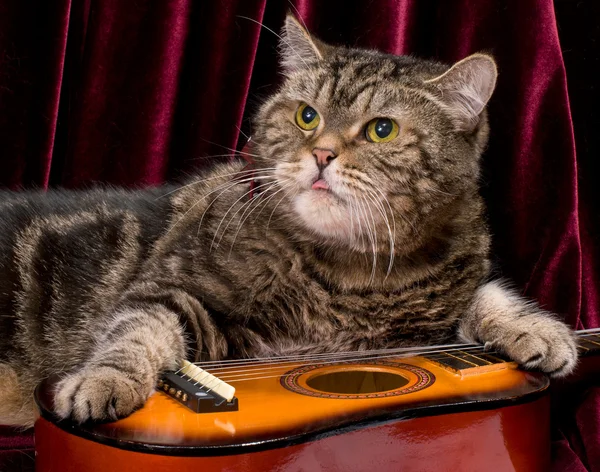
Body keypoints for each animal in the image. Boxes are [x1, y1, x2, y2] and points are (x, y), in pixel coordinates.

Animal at [0, 15, 576, 428]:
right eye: (306, 116)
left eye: (382, 130)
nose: (321, 154)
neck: (348, 272)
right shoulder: (176, 292)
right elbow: (133, 330)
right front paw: (102, 381)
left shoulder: (435, 305)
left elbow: (488, 295)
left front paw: (539, 329)